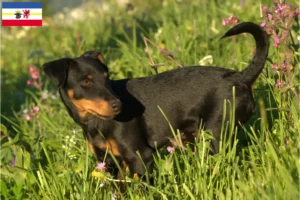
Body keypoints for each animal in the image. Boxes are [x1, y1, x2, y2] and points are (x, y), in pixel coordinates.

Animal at [42, 22, 270, 180]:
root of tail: (241, 77)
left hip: (216, 134)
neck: (94, 122)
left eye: (106, 77)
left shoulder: (140, 156)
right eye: (86, 82)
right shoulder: (108, 162)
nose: (118, 105)